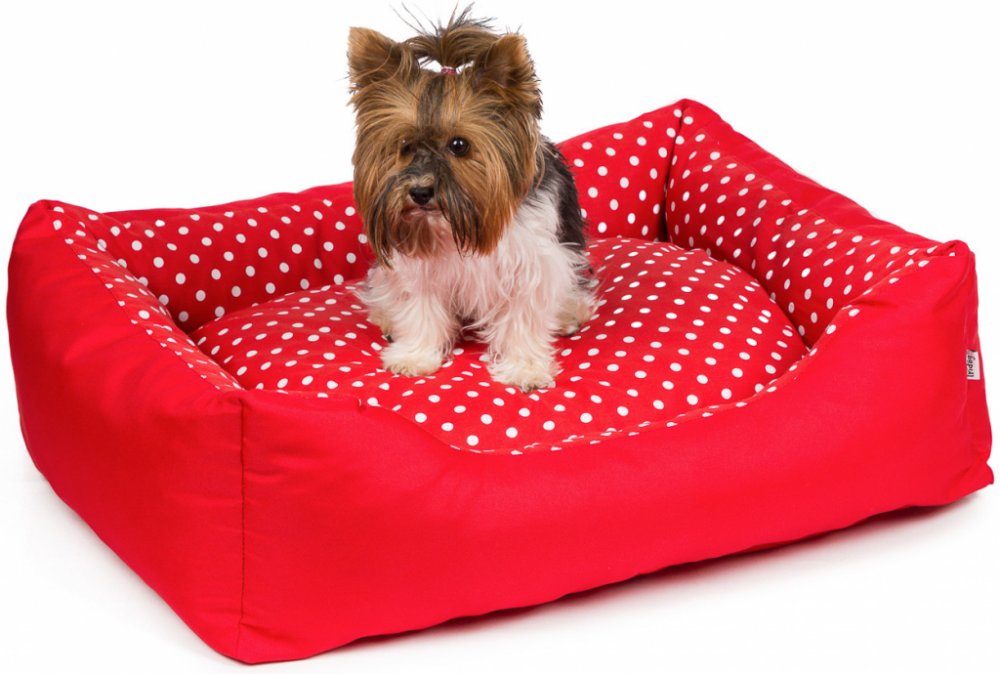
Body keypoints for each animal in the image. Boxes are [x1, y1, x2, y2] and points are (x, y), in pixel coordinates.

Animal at [348, 9, 594, 392]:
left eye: (459, 145)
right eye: (405, 146)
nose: (420, 192)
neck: (454, 221)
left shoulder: (531, 265)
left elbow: (523, 316)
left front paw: (524, 368)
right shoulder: (419, 267)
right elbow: (420, 308)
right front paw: (415, 356)